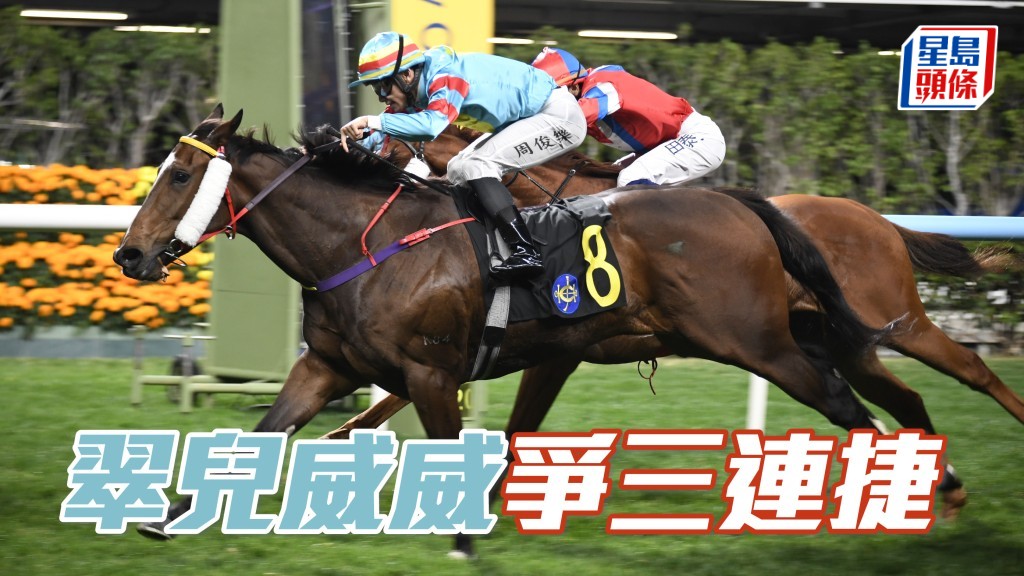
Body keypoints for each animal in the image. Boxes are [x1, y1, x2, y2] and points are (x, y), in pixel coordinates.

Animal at [115, 105, 892, 557]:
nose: (130, 255)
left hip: (754, 340)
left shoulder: (432, 372)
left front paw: (461, 537)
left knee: (843, 402)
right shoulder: (328, 366)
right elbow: (266, 433)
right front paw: (169, 514)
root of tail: (739, 202)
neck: (365, 245)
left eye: (179, 175)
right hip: (783, 334)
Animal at [332, 125, 1024, 519]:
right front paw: (341, 437)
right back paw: (942, 486)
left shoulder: (556, 346)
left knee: (972, 368)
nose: (385, 226)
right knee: (905, 400)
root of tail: (878, 219)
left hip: (897, 323)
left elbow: (506, 418)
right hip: (847, 343)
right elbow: (395, 395)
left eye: (388, 159)